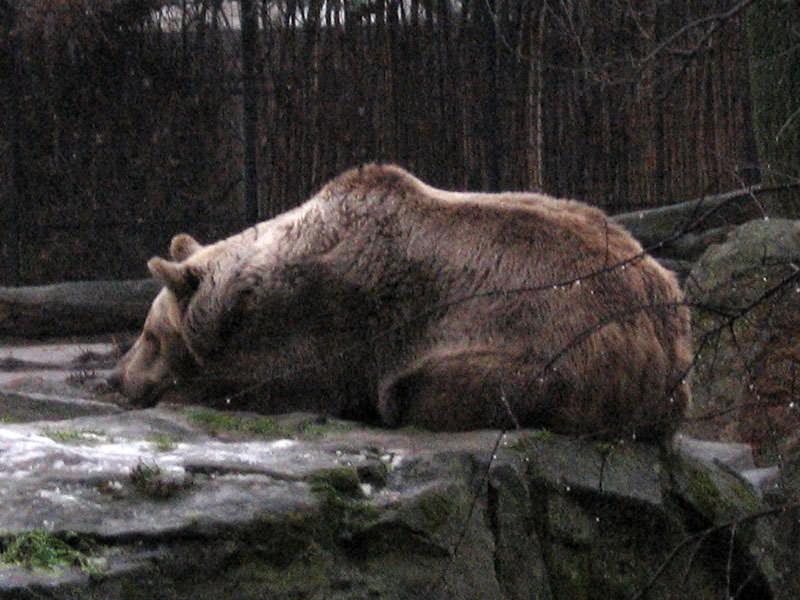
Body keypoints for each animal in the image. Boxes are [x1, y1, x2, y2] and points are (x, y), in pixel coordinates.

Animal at [109, 164, 692, 440]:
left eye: (148, 335)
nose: (114, 377)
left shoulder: (333, 323)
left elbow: (272, 382)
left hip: (553, 355)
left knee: (423, 389)